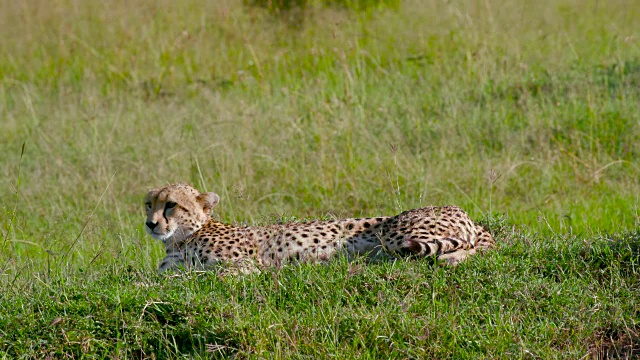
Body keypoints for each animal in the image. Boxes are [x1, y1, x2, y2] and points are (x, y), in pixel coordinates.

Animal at [145, 184, 496, 272]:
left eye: (171, 204)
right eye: (149, 203)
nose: (150, 223)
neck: (180, 240)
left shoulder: (246, 267)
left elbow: (202, 275)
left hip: (395, 234)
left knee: (470, 248)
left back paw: (450, 259)